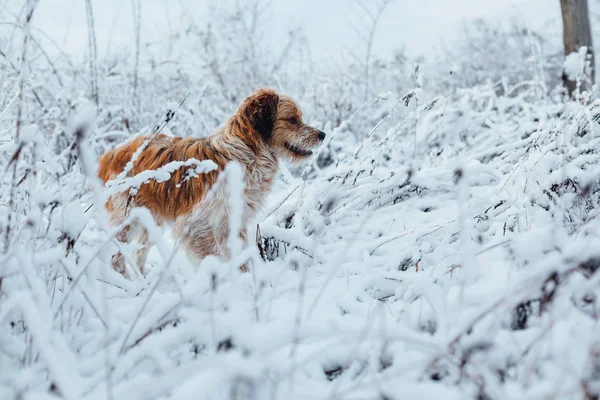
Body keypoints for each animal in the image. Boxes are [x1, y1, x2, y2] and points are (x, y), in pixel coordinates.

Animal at [98, 88, 326, 276]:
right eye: (292, 120)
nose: (322, 134)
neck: (246, 154)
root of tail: (111, 153)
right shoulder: (195, 224)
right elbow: (213, 257)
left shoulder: (232, 223)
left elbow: (240, 259)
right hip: (126, 221)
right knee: (117, 259)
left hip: (152, 219)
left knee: (138, 255)